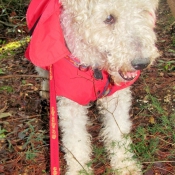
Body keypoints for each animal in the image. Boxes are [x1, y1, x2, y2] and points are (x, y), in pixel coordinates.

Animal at [29, 0, 160, 175]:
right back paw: (46, 90)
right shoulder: (71, 104)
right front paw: (79, 170)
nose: (142, 63)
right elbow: (76, 143)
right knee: (42, 70)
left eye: (143, 11)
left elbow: (118, 132)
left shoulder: (116, 97)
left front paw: (125, 165)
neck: (95, 65)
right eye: (109, 18)